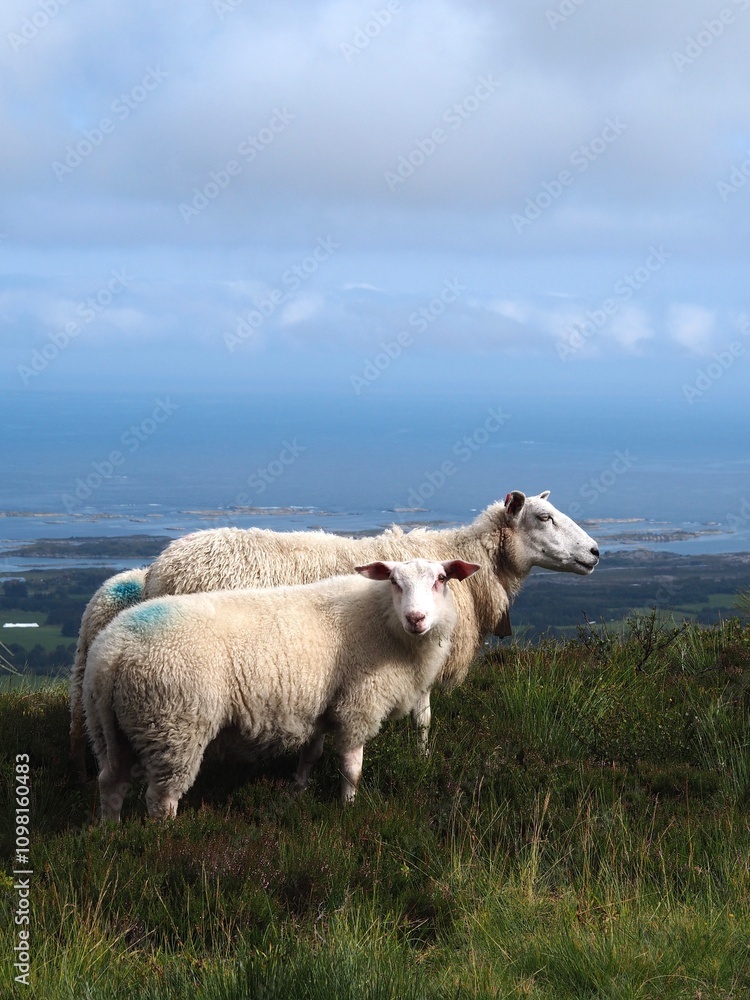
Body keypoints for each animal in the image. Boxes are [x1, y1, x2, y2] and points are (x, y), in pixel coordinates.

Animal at [70, 490, 599, 763]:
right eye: (544, 516)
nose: (595, 552)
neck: (465, 563)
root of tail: (160, 568)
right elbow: (424, 716)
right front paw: (424, 758)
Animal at [83, 558, 480, 820]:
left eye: (441, 579)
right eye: (395, 582)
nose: (417, 618)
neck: (382, 619)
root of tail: (112, 653)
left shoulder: (319, 707)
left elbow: (311, 756)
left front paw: (297, 791)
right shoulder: (358, 706)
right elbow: (351, 768)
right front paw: (348, 808)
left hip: (109, 727)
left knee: (110, 783)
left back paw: (110, 833)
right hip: (172, 726)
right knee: (160, 799)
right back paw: (162, 840)